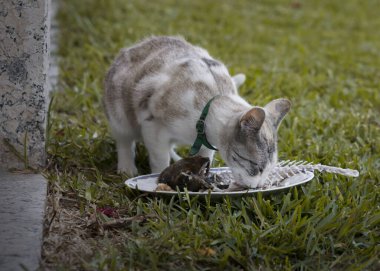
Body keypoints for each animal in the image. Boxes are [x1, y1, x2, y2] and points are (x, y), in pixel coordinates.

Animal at [102, 35, 290, 189]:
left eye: (269, 170)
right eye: (257, 168)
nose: (258, 186)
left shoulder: (206, 145)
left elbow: (203, 158)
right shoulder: (153, 127)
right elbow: (159, 160)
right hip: (119, 115)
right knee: (124, 141)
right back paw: (127, 168)